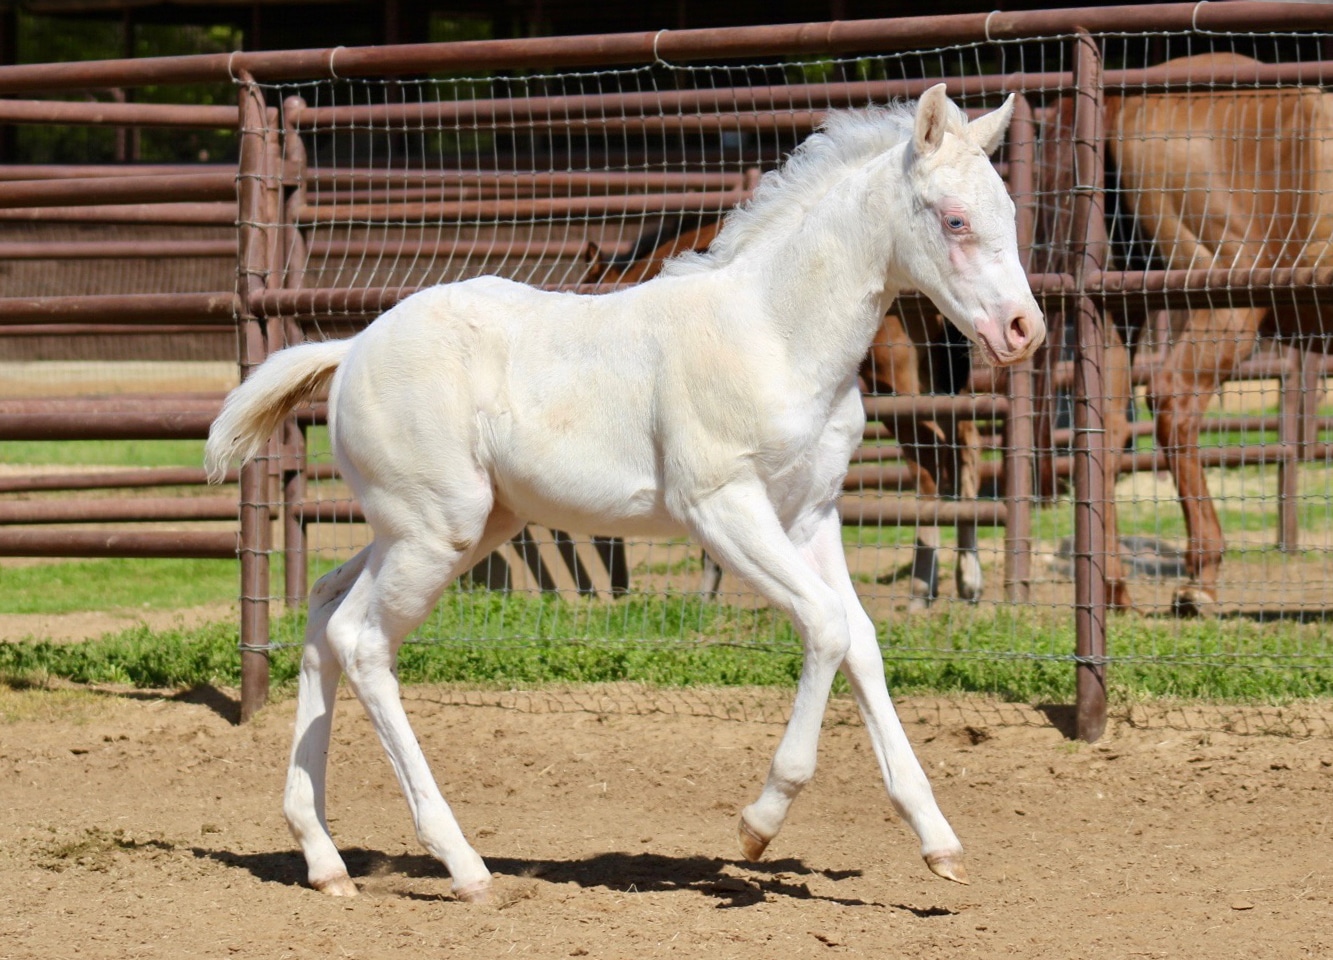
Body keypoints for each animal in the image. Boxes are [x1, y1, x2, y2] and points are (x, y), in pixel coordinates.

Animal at [1041, 53, 1333, 614]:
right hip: (1225, 304)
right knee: (1175, 402)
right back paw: (1201, 574)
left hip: (1118, 309)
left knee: (1108, 431)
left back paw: (1114, 587)